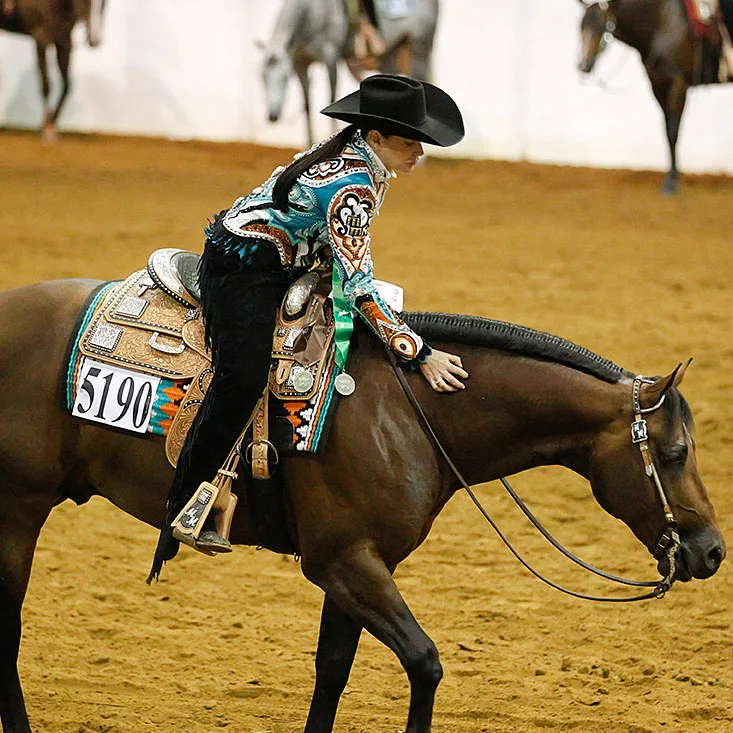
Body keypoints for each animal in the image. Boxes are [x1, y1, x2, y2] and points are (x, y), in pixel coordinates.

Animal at [0, 0, 105, 140]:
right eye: (85, 1)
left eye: (104, 3)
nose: (94, 40)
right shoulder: (41, 40)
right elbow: (46, 86)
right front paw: (46, 129)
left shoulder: (64, 43)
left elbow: (67, 85)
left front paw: (52, 125)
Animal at [0, 276, 725, 733]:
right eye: (674, 452)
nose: (713, 551)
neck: (409, 408)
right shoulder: (345, 562)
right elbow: (424, 663)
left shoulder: (355, 564)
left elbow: (333, 669)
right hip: (18, 510)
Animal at [577, 0, 733, 195]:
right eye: (580, 26)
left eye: (601, 26)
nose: (583, 65)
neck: (662, 23)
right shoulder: (657, 84)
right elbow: (666, 130)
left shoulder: (678, 83)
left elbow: (673, 131)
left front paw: (671, 182)